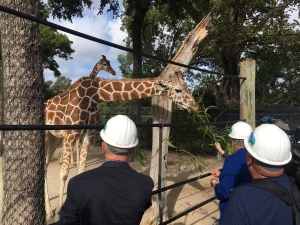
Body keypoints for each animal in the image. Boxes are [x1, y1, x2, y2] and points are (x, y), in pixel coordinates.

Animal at [44, 70, 199, 218]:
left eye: (187, 86)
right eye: (178, 89)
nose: (195, 106)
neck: (93, 96)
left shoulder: (89, 133)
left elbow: (81, 170)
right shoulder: (70, 134)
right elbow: (64, 174)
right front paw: (59, 211)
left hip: (54, 137)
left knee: (45, 166)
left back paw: (48, 209)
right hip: (47, 135)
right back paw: (49, 211)